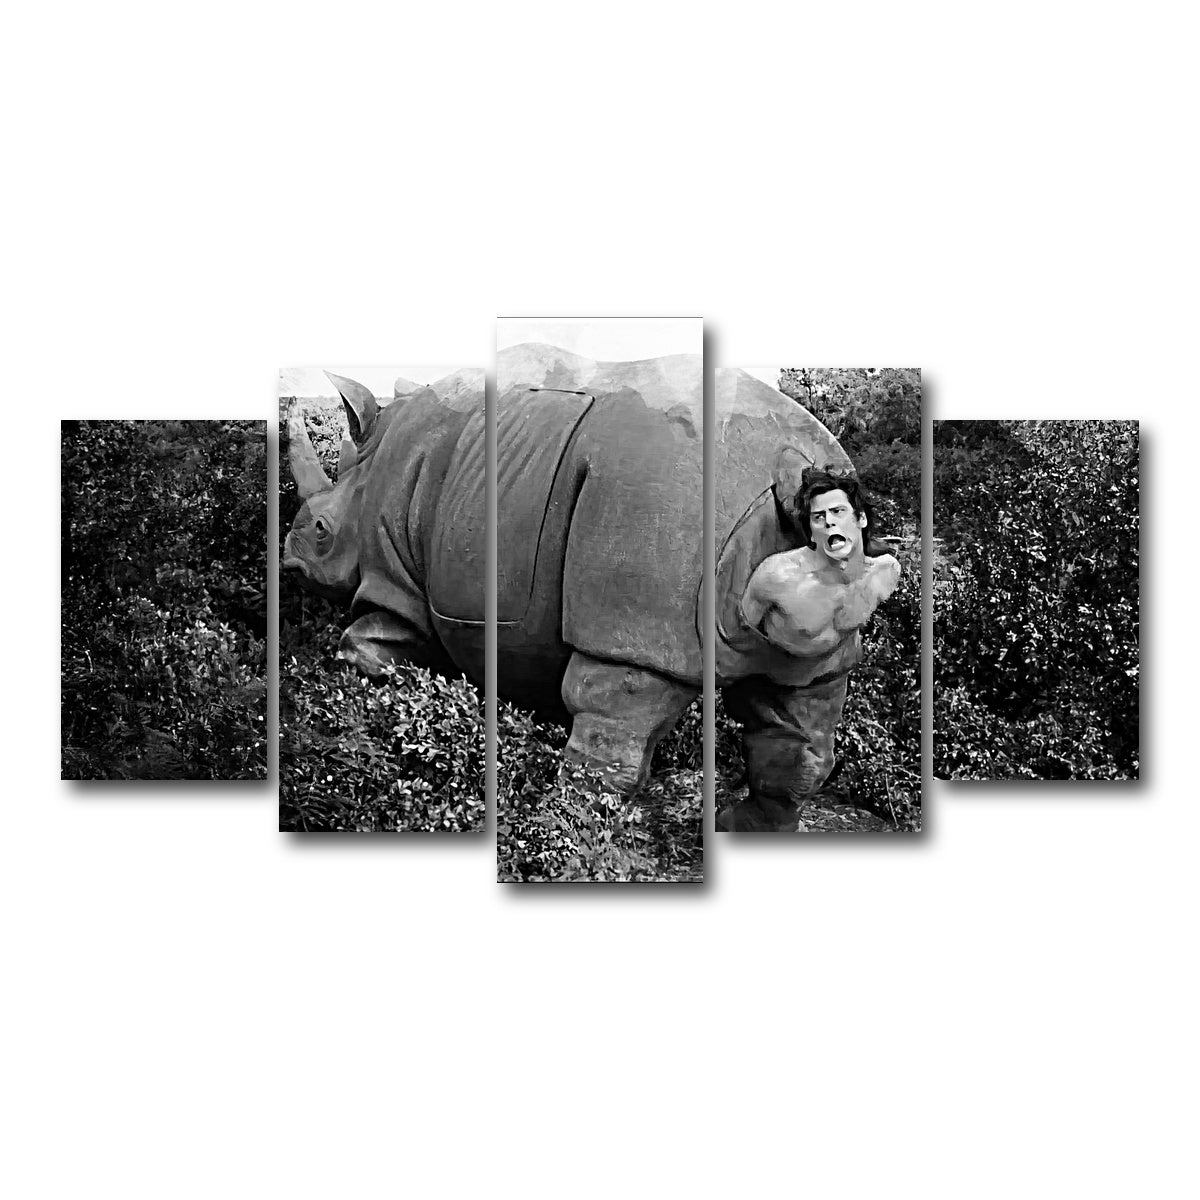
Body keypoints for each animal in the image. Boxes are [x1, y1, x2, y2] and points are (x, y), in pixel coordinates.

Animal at [283, 349, 884, 832]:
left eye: (320, 531)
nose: (290, 562)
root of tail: (788, 459)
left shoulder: (393, 577)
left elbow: (371, 647)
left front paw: (359, 713)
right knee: (803, 710)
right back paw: (741, 828)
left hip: (650, 510)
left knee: (618, 696)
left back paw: (567, 827)